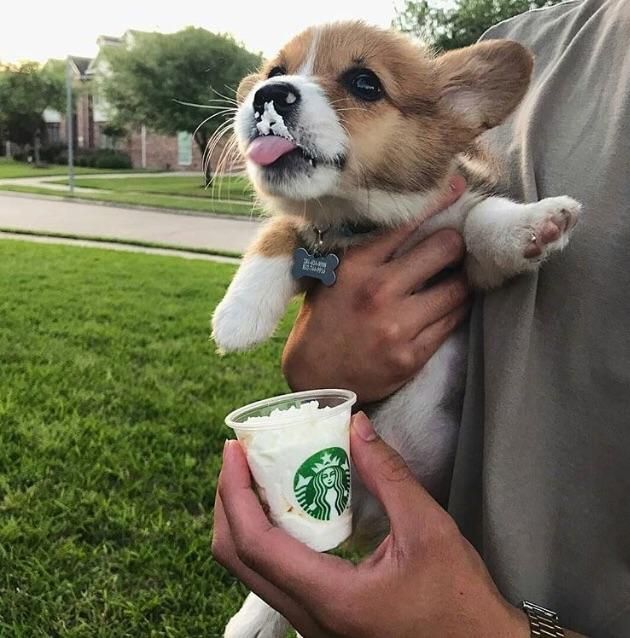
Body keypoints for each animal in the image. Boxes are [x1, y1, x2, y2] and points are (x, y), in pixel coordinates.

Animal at [211, 21, 584, 638]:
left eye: (365, 82)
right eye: (273, 72)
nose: (269, 96)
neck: (367, 222)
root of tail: (369, 516)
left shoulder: (467, 255)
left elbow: (481, 225)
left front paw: (534, 223)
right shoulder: (315, 234)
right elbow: (283, 230)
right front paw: (237, 315)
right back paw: (254, 619)